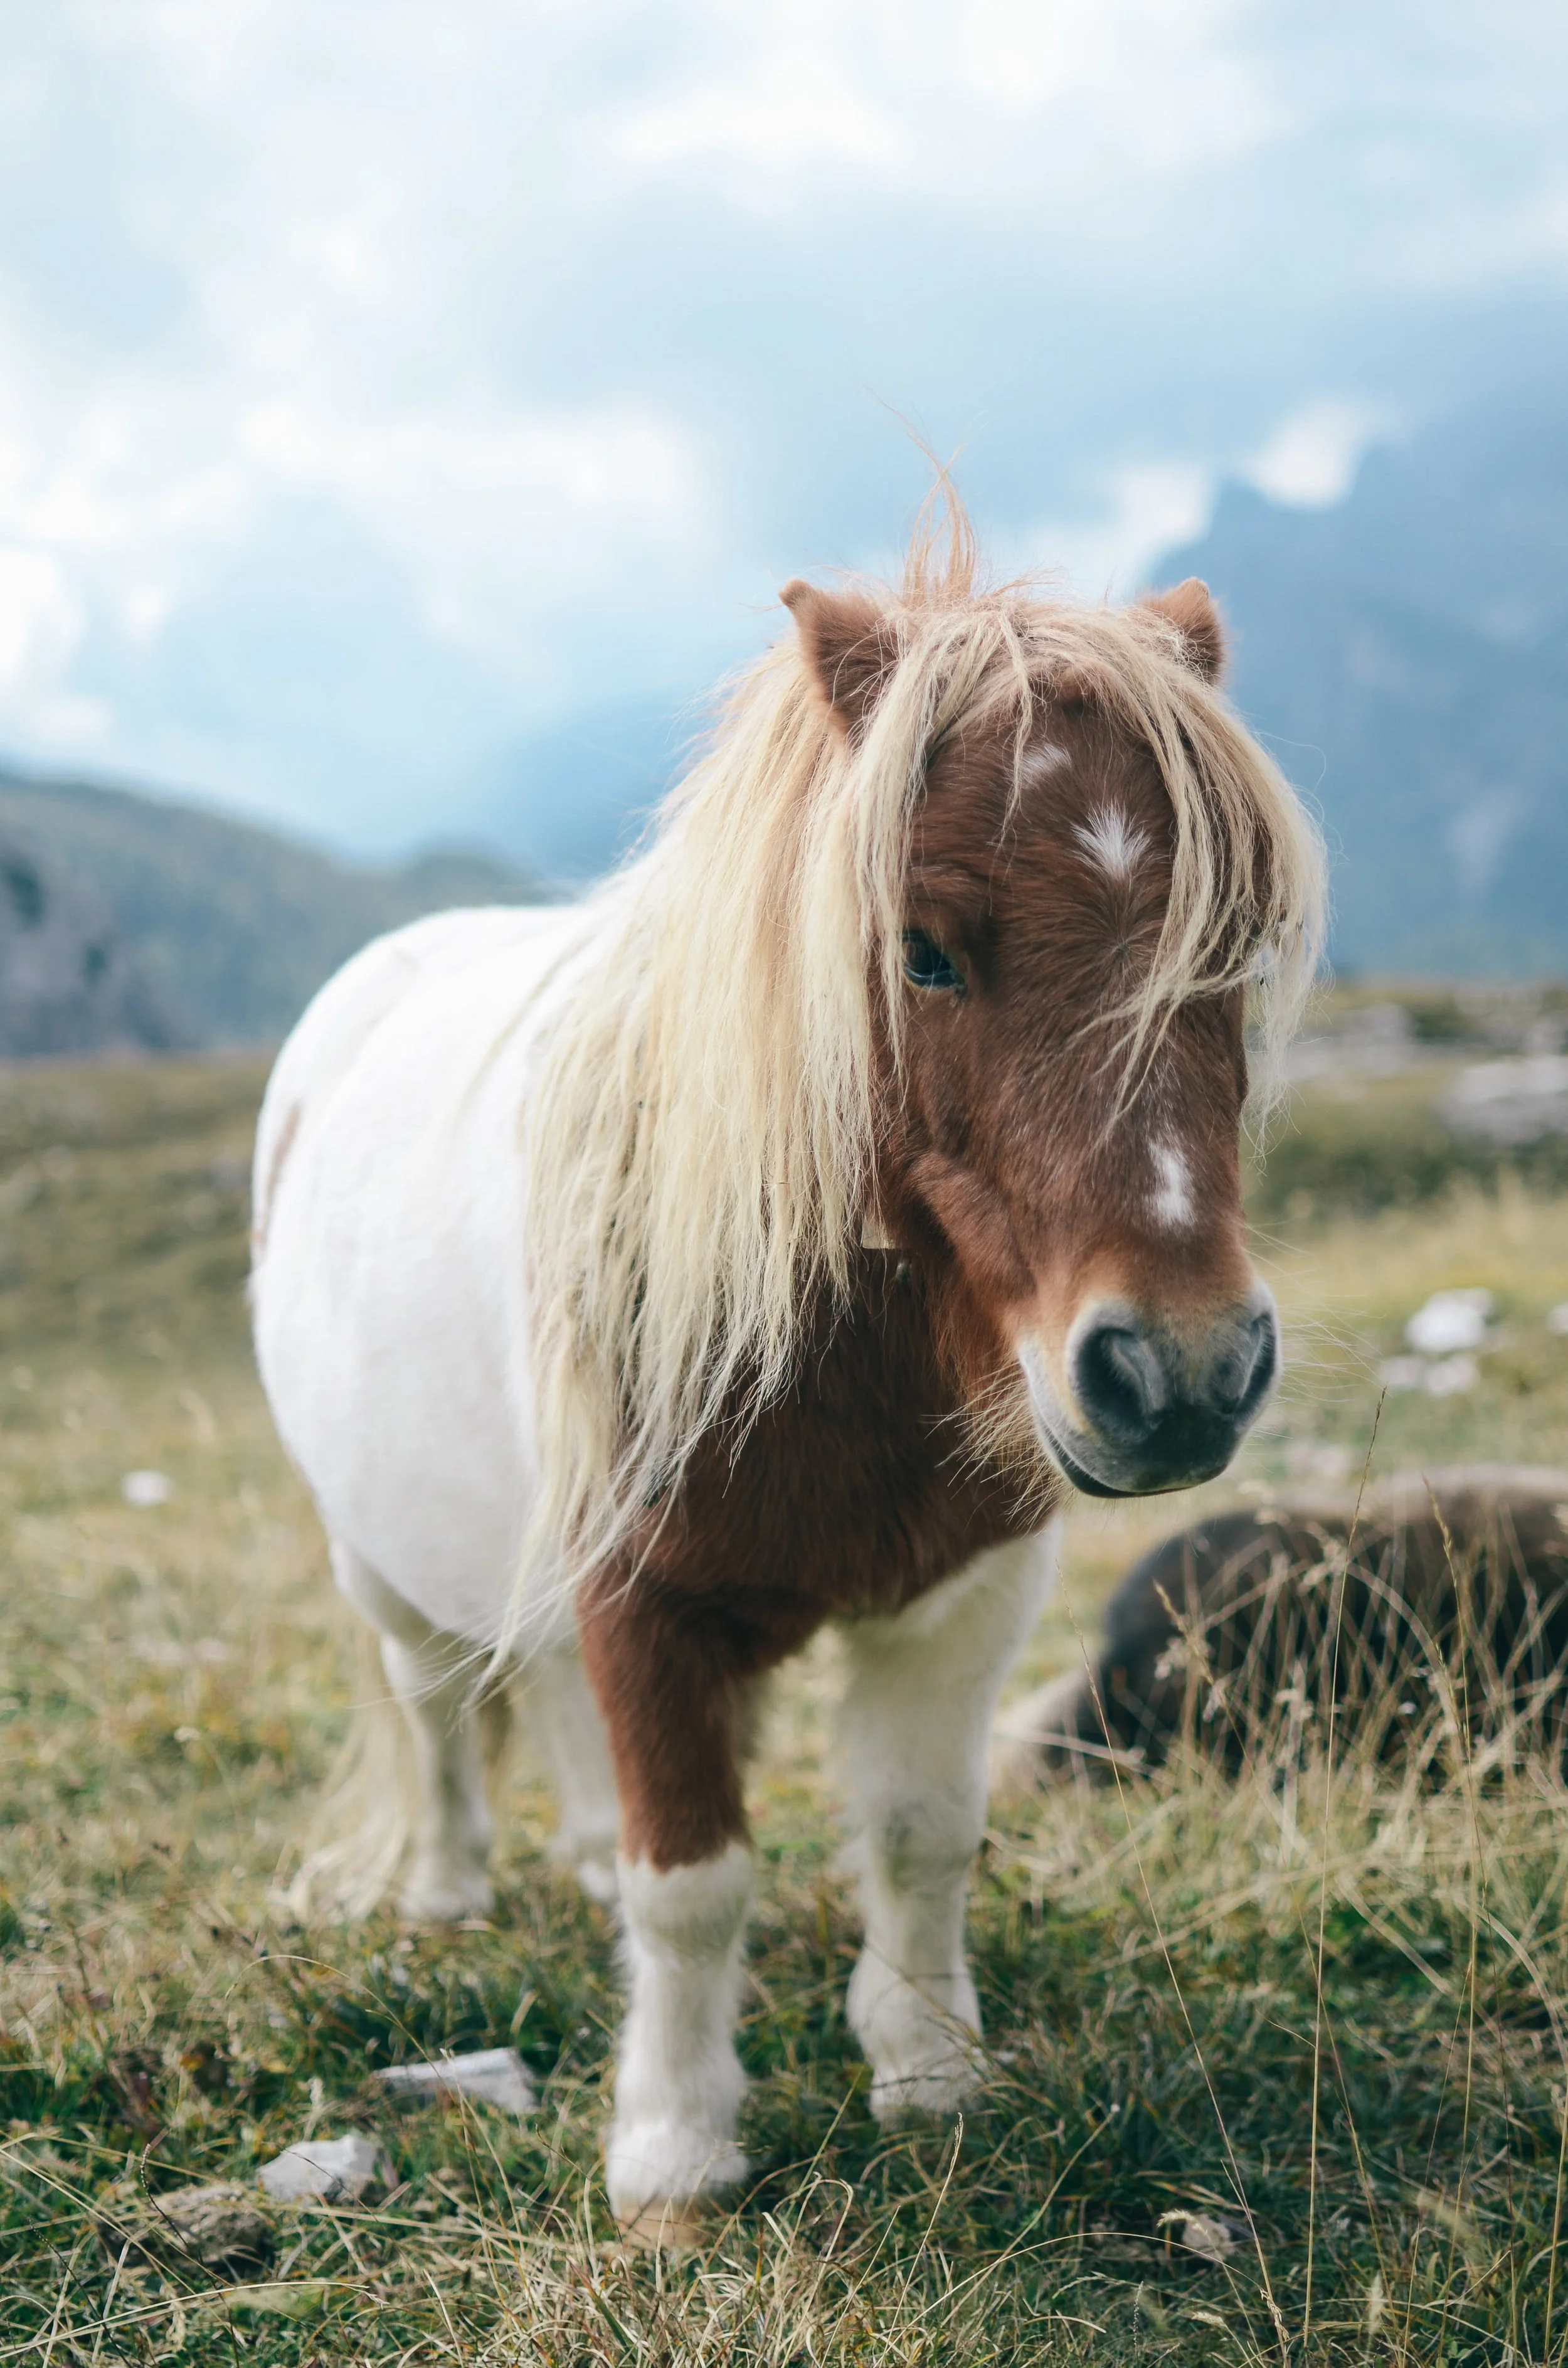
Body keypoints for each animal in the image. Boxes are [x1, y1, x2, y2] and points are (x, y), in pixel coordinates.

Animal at [249, 507, 1323, 2238]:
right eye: (923, 954)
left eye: (1228, 945)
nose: (1180, 1374)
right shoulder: (646, 1603)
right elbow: (695, 1885)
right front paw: (674, 2152)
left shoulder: (959, 1598)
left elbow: (922, 1834)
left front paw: (929, 2068)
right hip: (378, 1559)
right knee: (434, 1705)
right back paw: (450, 1895)